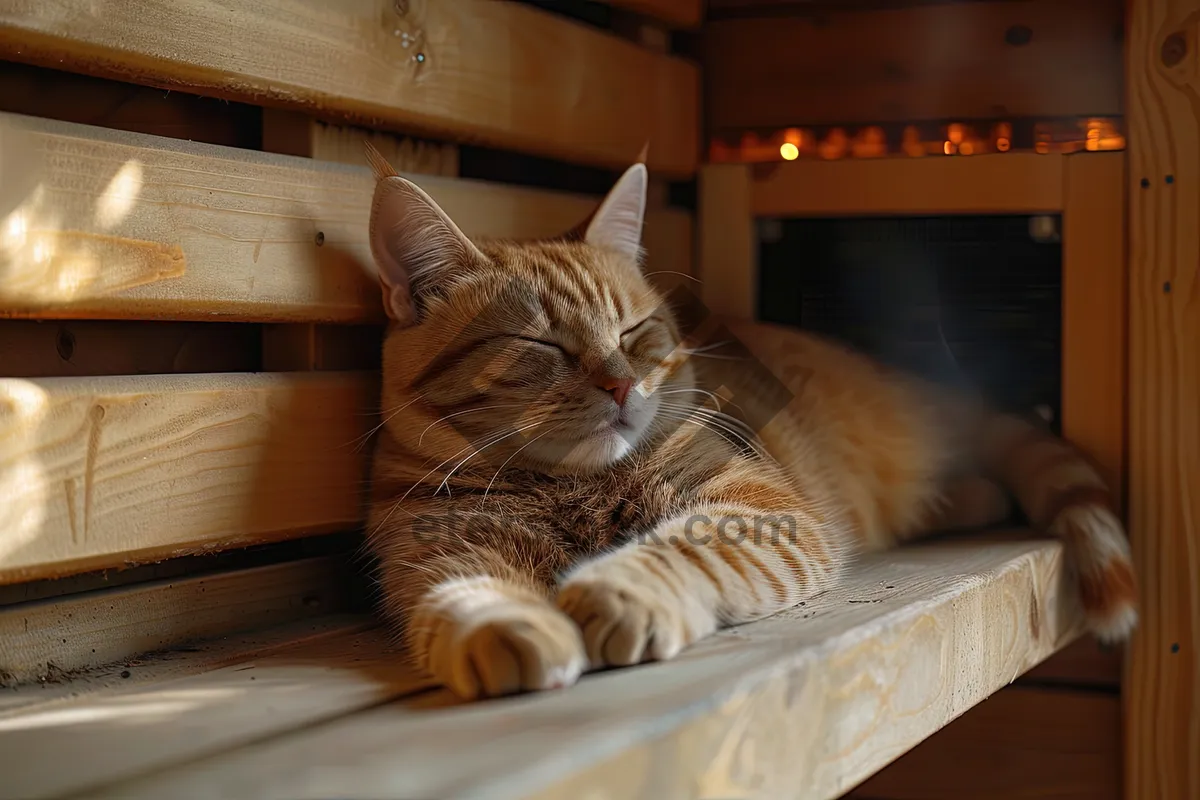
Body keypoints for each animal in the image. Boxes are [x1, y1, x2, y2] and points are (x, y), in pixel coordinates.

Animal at [360, 148, 1137, 700]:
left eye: (634, 331)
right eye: (542, 345)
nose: (620, 384)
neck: (569, 487)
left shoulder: (759, 508)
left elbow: (684, 547)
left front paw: (619, 590)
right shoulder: (439, 551)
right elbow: (465, 593)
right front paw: (509, 625)